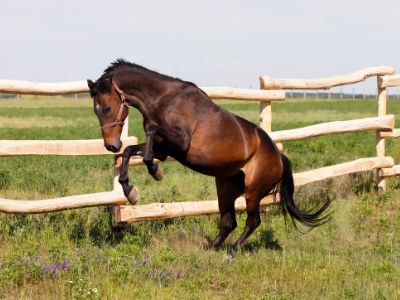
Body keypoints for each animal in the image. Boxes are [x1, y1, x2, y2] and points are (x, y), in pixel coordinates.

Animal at [86, 59, 330, 250]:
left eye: (106, 108)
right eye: (95, 110)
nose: (111, 145)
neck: (164, 99)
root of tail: (280, 159)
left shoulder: (179, 142)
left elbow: (151, 132)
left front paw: (154, 172)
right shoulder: (164, 149)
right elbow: (130, 151)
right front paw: (131, 191)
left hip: (253, 192)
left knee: (253, 221)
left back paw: (232, 250)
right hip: (225, 188)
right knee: (229, 222)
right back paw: (213, 248)